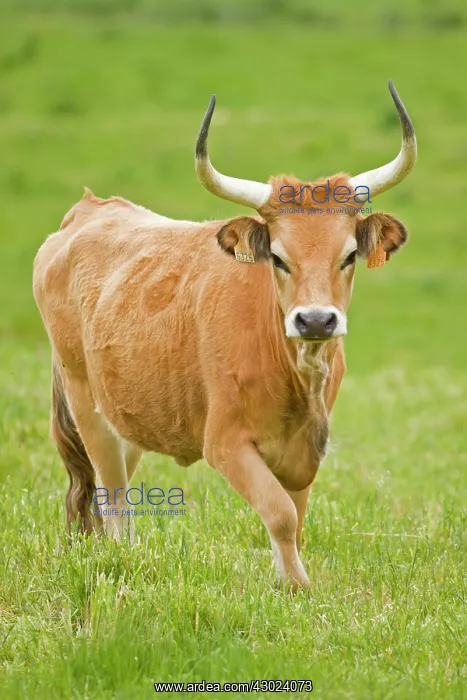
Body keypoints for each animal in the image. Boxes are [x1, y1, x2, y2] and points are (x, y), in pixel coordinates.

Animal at [33, 80, 416, 590]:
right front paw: (298, 586)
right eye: (279, 257)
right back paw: (123, 561)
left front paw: (283, 580)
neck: (293, 376)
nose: (316, 320)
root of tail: (88, 209)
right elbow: (279, 513)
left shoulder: (304, 452)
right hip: (85, 403)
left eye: (350, 254)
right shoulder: (226, 442)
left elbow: (295, 514)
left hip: (125, 415)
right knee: (109, 495)